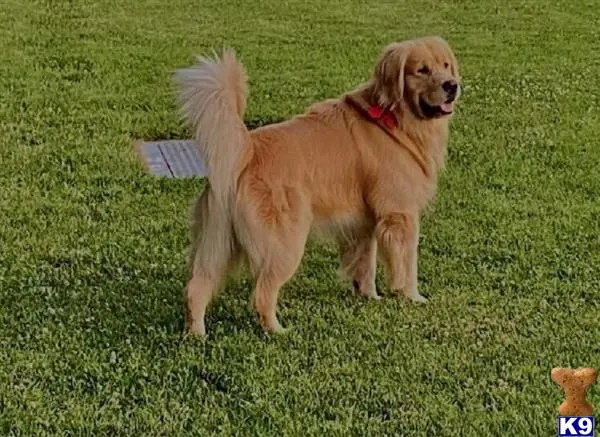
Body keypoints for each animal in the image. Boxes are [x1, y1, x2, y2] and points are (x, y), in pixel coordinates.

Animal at [176, 35, 462, 336]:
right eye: (422, 70)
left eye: (445, 65)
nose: (452, 85)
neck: (393, 117)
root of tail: (246, 152)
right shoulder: (401, 215)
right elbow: (407, 265)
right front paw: (413, 296)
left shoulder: (364, 224)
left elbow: (365, 265)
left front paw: (369, 296)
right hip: (284, 244)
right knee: (261, 294)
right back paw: (278, 330)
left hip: (216, 242)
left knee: (196, 288)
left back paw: (197, 334)